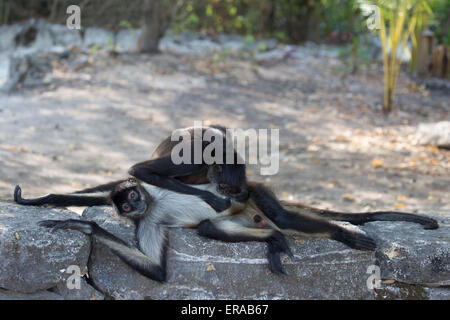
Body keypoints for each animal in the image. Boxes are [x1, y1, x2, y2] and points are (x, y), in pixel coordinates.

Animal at [13, 125, 440, 280]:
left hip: (255, 195)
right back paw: (273, 242)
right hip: (239, 215)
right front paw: (80, 224)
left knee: (280, 214)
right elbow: (158, 271)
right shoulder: (146, 220)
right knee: (209, 227)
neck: (151, 205)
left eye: (133, 197)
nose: (133, 204)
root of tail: (247, 206)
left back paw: (341, 235)